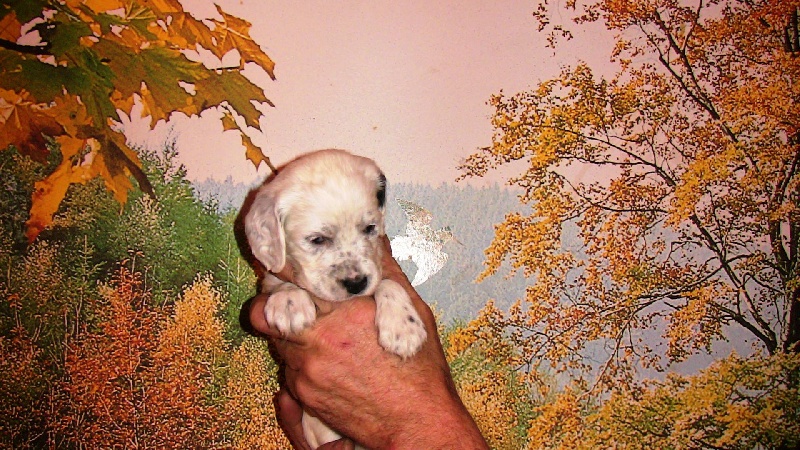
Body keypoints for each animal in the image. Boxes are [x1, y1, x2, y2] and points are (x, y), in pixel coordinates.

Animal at [244, 149, 427, 448]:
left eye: (369, 228)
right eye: (318, 239)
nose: (356, 283)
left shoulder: (379, 267)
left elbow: (388, 282)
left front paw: (404, 329)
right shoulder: (272, 276)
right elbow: (279, 284)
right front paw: (289, 302)